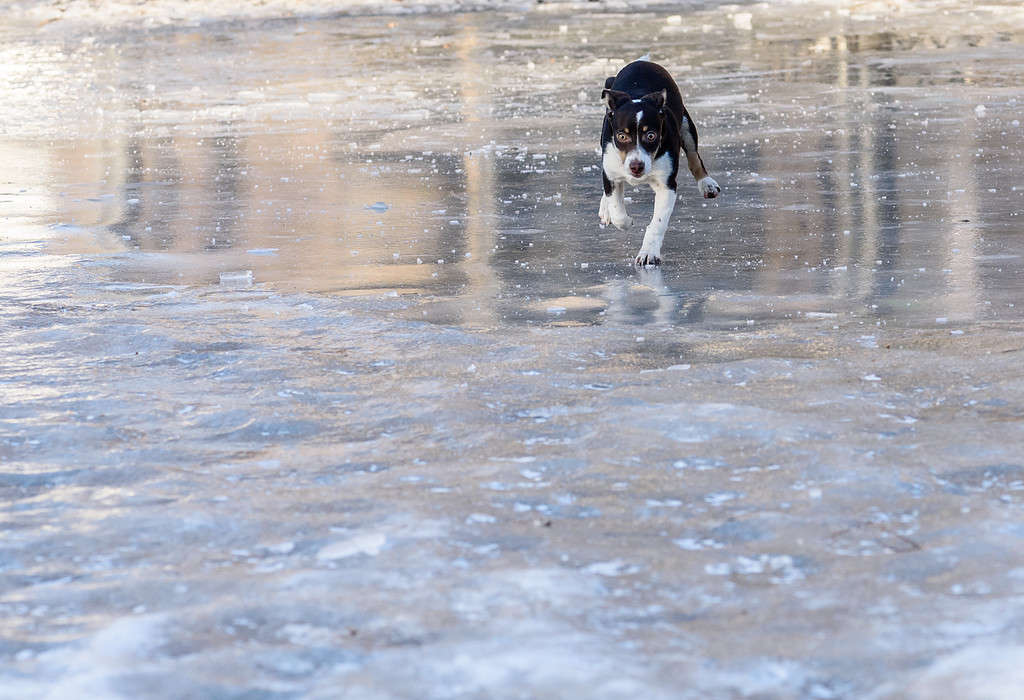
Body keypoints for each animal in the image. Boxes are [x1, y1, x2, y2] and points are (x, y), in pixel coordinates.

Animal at [598, 58, 720, 266]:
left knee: (694, 157)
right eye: (621, 136)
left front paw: (648, 254)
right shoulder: (611, 173)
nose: (636, 167)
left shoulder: (666, 185)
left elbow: (657, 224)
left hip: (686, 125)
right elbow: (617, 210)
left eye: (651, 135)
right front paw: (624, 219)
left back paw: (707, 184)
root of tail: (642, 62)